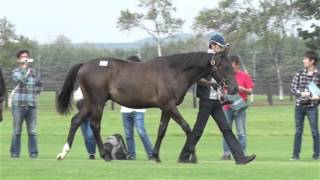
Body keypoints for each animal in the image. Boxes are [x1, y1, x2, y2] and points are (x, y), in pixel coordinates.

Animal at [55, 51, 238, 162]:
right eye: (225, 67)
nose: (234, 88)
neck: (174, 72)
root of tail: (84, 64)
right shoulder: (170, 106)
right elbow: (187, 128)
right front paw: (192, 157)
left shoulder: (166, 108)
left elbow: (162, 130)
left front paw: (155, 156)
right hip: (97, 103)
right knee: (94, 125)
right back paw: (105, 155)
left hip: (91, 103)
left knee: (76, 121)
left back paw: (63, 152)